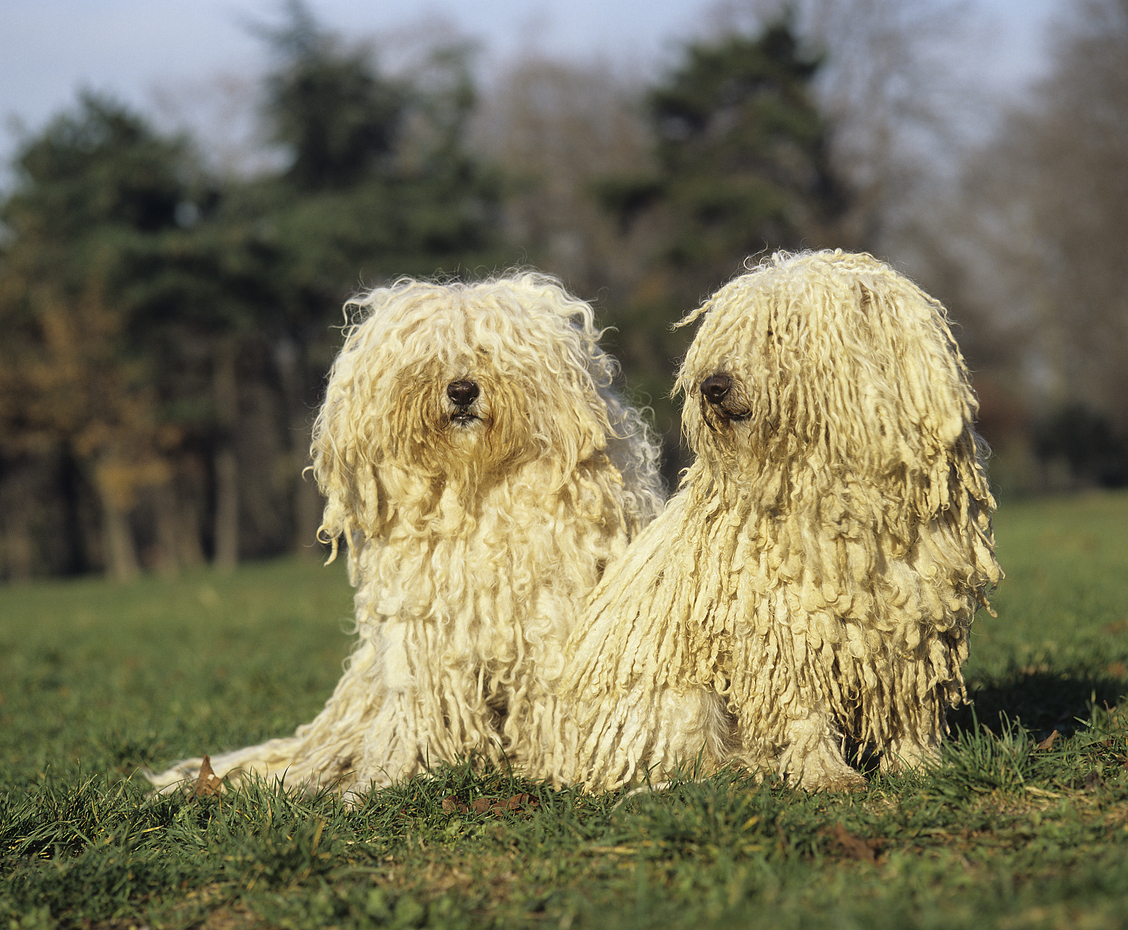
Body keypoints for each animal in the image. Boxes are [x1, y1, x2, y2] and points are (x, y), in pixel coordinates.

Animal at [147, 270, 658, 799]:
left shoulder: (551, 613)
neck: (473, 490)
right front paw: (406, 775)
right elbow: (424, 703)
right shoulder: (422, 628)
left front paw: (557, 770)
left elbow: (550, 692)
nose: (461, 390)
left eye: (491, 350)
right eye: (426, 359)